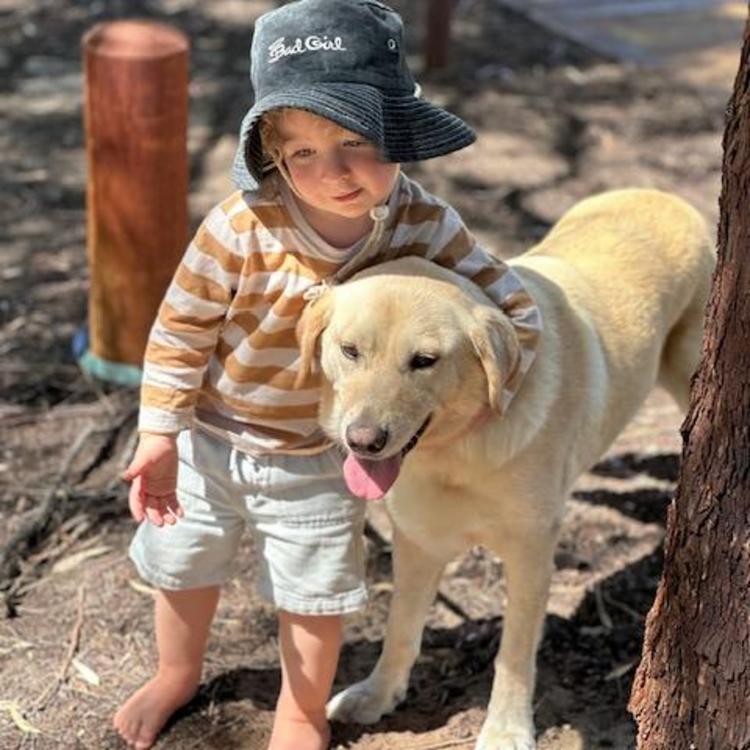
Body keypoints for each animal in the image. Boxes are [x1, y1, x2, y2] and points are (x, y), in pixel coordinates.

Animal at [296, 189, 714, 749]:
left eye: (424, 360)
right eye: (349, 351)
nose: (363, 441)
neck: (459, 452)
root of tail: (655, 192)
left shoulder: (530, 555)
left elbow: (513, 656)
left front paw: (506, 729)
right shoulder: (418, 544)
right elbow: (400, 631)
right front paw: (379, 695)